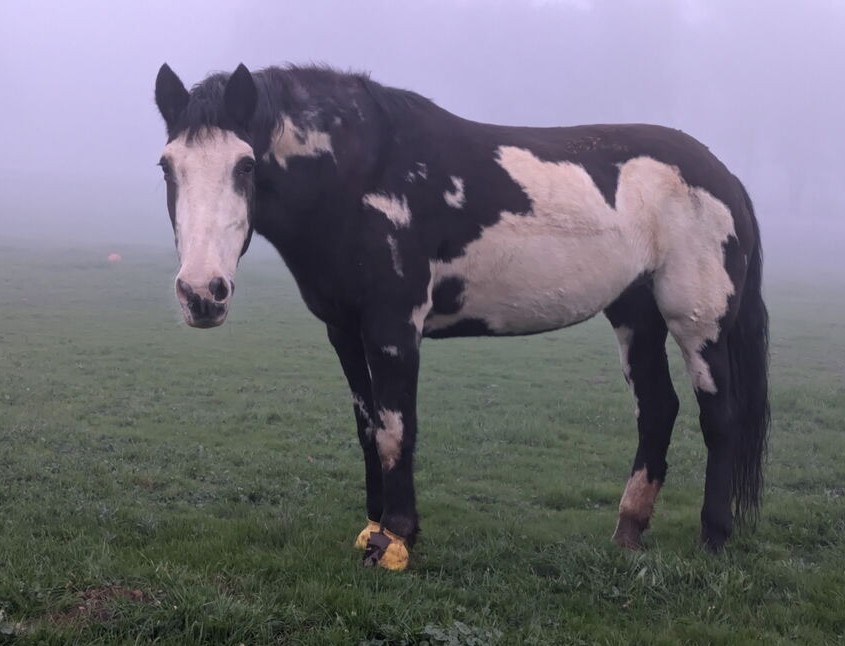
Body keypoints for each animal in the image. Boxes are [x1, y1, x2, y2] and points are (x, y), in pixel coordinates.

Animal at [154, 63, 769, 570]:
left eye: (245, 165)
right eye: (166, 167)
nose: (202, 294)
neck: (362, 174)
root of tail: (725, 178)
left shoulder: (393, 327)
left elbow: (397, 430)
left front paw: (395, 541)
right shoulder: (344, 330)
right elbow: (368, 429)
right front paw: (372, 530)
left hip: (697, 321)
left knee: (719, 416)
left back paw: (713, 538)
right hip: (635, 314)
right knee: (657, 410)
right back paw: (628, 531)